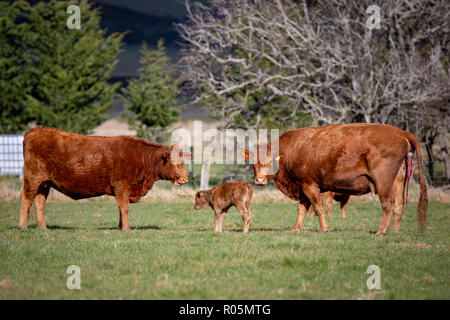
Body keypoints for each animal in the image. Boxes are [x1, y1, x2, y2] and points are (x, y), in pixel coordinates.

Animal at [19, 126, 191, 231]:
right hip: (32, 179)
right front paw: (126, 229)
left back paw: (43, 228)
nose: (185, 179)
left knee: (39, 202)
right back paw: (23, 226)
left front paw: (121, 227)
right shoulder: (121, 186)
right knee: (26, 200)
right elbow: (124, 207)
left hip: (44, 184)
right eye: (175, 163)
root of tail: (32, 132)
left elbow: (121, 208)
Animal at [244, 124, 428, 234]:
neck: (291, 150)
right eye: (253, 162)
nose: (259, 180)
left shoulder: (309, 185)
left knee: (387, 204)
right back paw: (395, 230)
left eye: (269, 162)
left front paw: (323, 228)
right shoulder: (302, 186)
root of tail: (400, 132)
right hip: (398, 180)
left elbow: (317, 207)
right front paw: (295, 228)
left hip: (383, 183)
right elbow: (302, 208)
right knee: (399, 204)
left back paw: (381, 231)